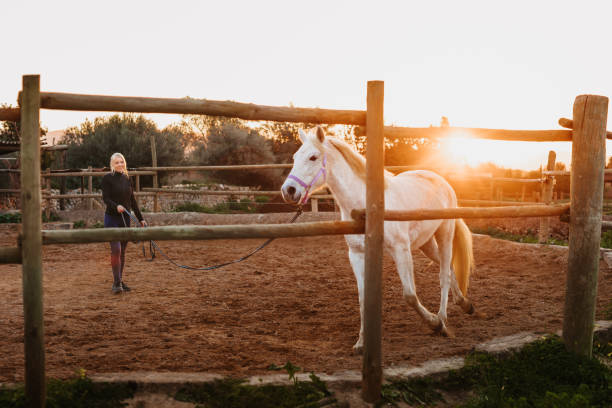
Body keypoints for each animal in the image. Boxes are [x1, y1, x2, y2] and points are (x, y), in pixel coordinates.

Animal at [280, 127, 476, 354]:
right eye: (295, 157)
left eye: (313, 157)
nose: (288, 190)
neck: (367, 207)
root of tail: (442, 181)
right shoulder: (357, 255)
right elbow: (363, 299)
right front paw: (361, 343)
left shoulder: (401, 250)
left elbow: (409, 295)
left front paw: (433, 323)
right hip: (426, 244)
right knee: (451, 269)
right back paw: (465, 304)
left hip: (444, 234)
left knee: (443, 274)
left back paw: (443, 320)